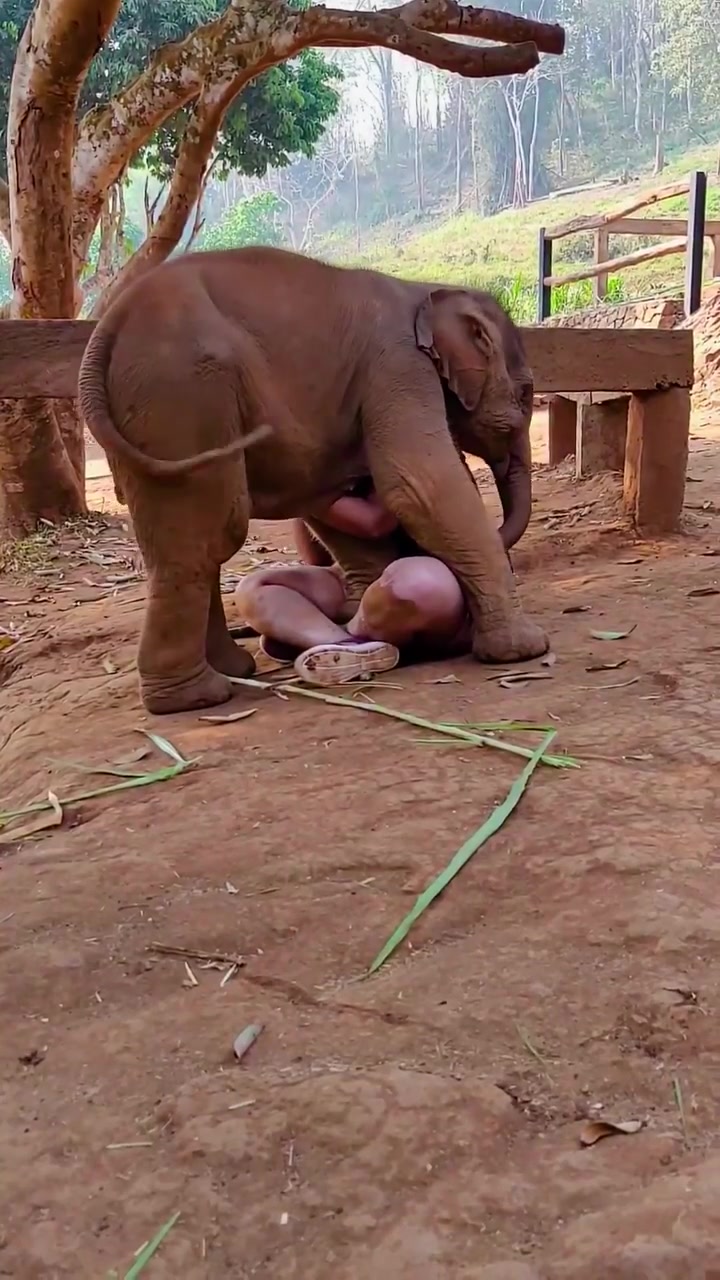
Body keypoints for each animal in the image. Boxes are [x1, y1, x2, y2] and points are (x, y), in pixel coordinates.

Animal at [78, 245, 548, 715]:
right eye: (526, 394)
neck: (426, 291)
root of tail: (104, 333)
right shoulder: (398, 366)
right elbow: (420, 485)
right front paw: (526, 651)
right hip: (180, 397)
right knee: (207, 535)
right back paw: (197, 697)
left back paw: (248, 666)